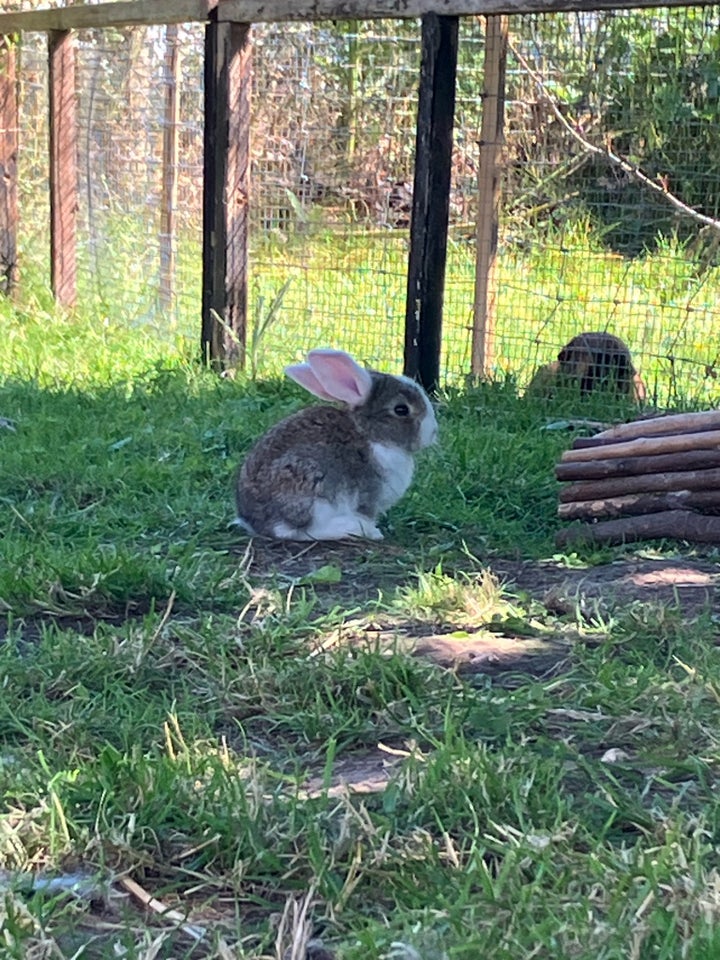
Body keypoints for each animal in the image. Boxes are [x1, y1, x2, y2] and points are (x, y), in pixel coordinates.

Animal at [236, 348, 438, 540]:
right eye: (401, 409)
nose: (433, 431)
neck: (370, 435)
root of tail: (254, 522)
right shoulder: (367, 498)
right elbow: (366, 515)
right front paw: (374, 533)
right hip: (311, 488)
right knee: (299, 531)